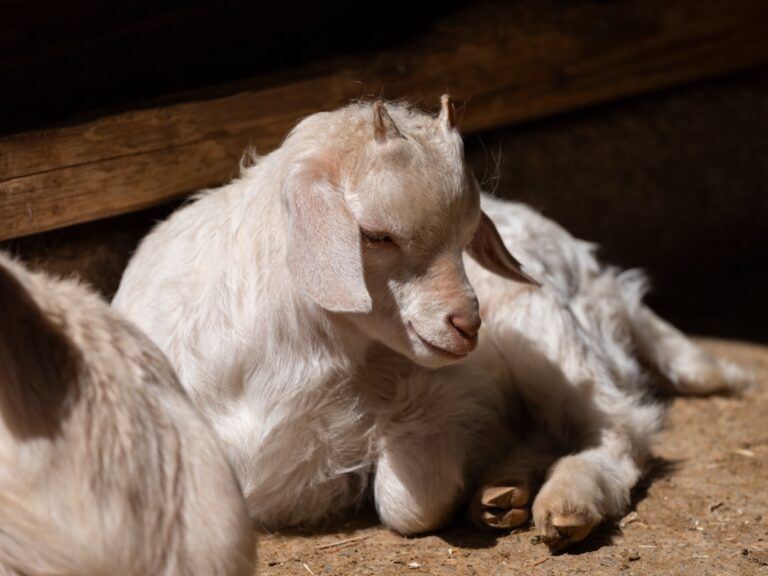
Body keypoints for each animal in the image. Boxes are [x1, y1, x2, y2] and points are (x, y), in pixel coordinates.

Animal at [113, 96, 746, 551]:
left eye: (467, 239)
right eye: (375, 235)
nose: (468, 324)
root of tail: (595, 271)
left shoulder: (459, 395)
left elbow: (409, 502)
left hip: (549, 333)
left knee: (619, 431)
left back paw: (565, 503)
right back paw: (504, 491)